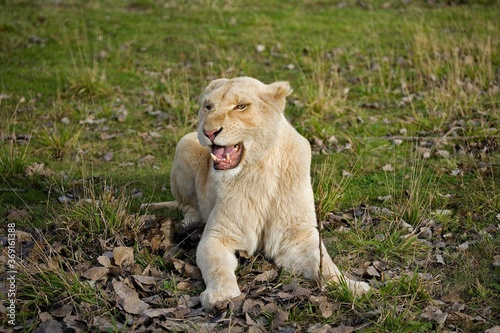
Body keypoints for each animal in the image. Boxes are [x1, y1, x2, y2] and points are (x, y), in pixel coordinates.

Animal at [146, 76, 370, 310]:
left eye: (241, 106)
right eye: (208, 107)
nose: (208, 132)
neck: (258, 170)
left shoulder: (296, 236)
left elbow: (325, 263)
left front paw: (351, 286)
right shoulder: (218, 235)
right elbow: (218, 267)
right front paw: (221, 295)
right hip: (184, 144)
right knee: (186, 205)